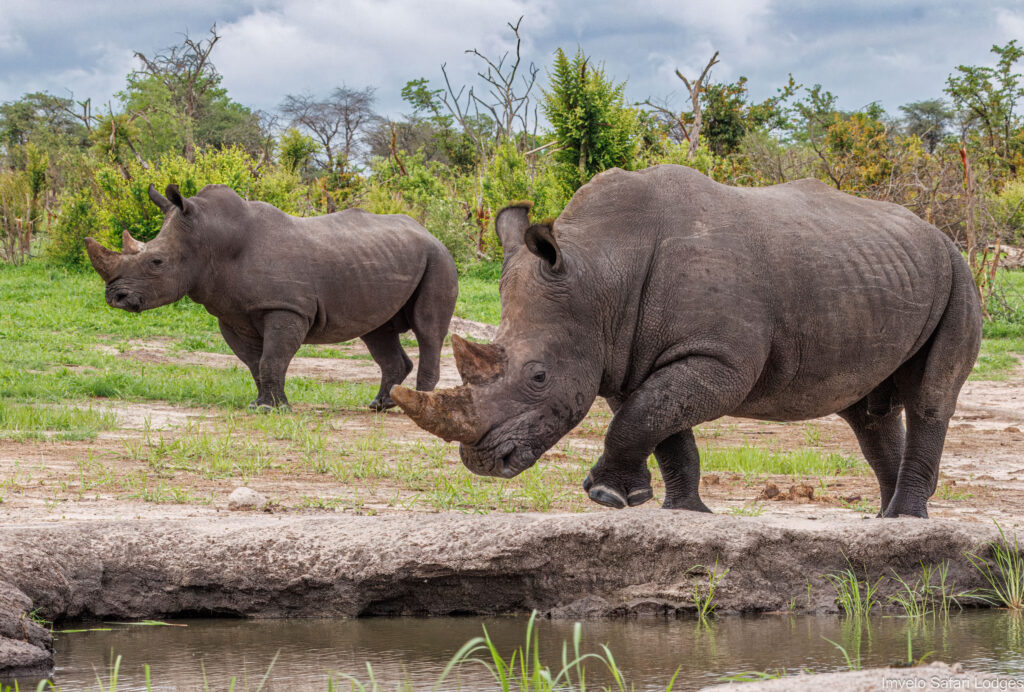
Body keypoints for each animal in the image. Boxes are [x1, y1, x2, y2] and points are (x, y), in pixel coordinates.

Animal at [86, 184, 458, 411]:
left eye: (157, 262)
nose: (115, 297)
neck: (210, 240)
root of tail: (428, 232)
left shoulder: (287, 308)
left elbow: (273, 357)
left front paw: (269, 408)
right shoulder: (231, 314)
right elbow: (255, 362)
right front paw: (264, 404)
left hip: (439, 259)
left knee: (428, 330)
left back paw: (420, 405)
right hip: (385, 264)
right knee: (377, 331)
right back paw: (380, 405)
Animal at [392, 165, 982, 518]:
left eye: (538, 376)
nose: (482, 463)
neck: (601, 270)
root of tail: (937, 232)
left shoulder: (718, 359)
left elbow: (646, 417)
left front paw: (605, 496)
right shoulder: (625, 354)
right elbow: (659, 422)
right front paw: (677, 510)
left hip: (958, 272)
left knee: (931, 398)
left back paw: (905, 519)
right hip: (878, 272)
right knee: (865, 411)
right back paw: (887, 519)